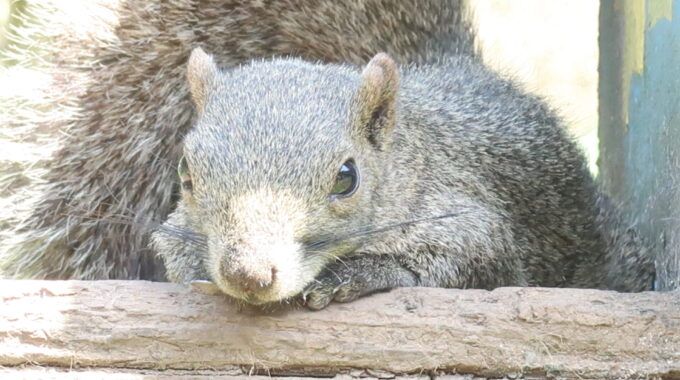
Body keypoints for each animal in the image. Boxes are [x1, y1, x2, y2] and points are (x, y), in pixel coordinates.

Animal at [153, 48, 652, 308]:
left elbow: (474, 263)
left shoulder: (473, 220)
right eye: (186, 172)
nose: (248, 273)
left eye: (347, 177)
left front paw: (357, 273)